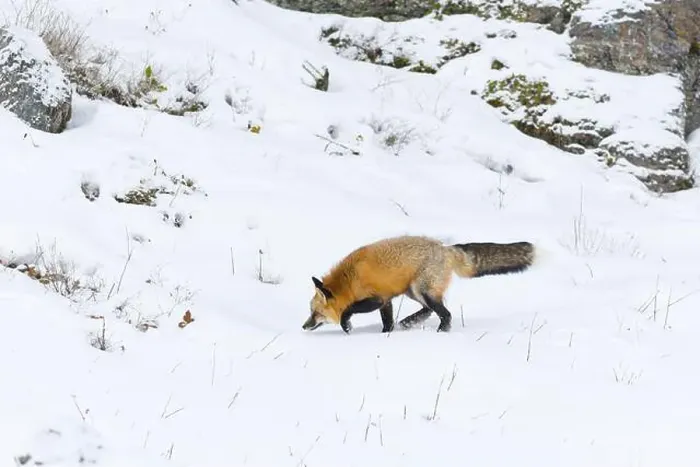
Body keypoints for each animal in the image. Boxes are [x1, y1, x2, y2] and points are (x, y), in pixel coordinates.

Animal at [302, 235, 536, 334]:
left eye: (316, 313)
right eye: (310, 312)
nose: (303, 326)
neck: (349, 280)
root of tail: (446, 248)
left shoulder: (375, 298)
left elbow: (348, 310)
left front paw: (347, 326)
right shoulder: (386, 299)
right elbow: (388, 322)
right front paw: (384, 335)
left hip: (421, 289)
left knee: (445, 314)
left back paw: (441, 332)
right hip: (413, 291)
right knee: (429, 310)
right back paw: (409, 322)